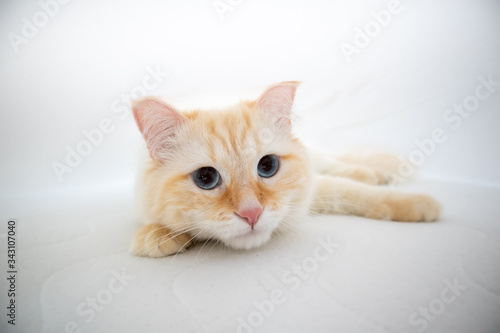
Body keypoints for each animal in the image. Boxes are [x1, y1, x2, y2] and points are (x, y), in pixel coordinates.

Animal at [130, 81, 442, 256]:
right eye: (205, 178)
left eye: (267, 167)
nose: (252, 214)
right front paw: (156, 237)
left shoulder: (313, 190)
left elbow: (358, 193)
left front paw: (419, 204)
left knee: (340, 165)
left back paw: (380, 172)